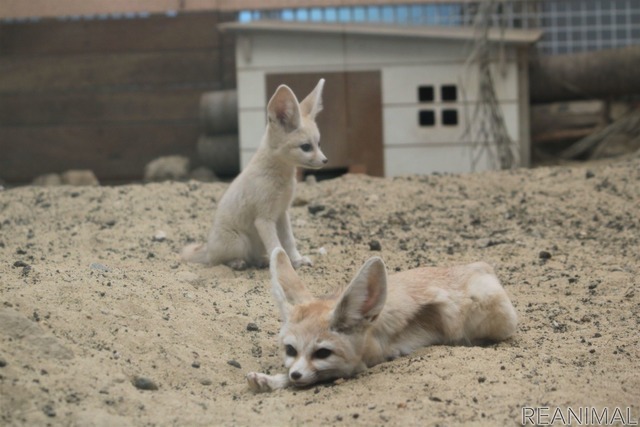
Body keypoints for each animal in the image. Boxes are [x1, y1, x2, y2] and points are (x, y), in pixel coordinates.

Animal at [182, 78, 328, 270]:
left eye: (319, 144)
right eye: (306, 147)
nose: (325, 160)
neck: (281, 179)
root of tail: (208, 247)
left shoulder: (282, 213)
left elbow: (289, 242)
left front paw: (297, 260)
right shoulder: (264, 219)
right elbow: (276, 246)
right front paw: (285, 267)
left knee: (253, 257)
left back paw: (261, 260)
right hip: (240, 241)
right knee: (218, 261)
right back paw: (237, 262)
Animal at [248, 249, 516, 392]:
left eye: (322, 353)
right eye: (290, 350)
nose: (295, 374)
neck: (369, 332)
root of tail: (481, 266)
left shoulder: (359, 366)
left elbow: (321, 375)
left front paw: (274, 380)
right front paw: (270, 379)